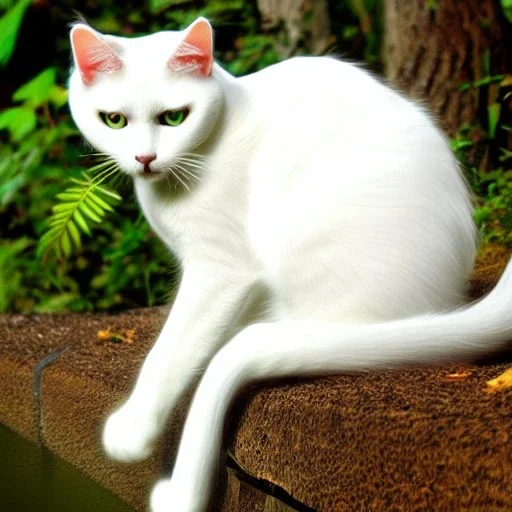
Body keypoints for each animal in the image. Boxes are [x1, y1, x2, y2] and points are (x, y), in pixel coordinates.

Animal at [69, 17, 512, 512]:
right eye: (113, 120)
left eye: (174, 117)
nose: (144, 158)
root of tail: (441, 304)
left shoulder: (221, 270)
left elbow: (171, 349)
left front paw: (136, 425)